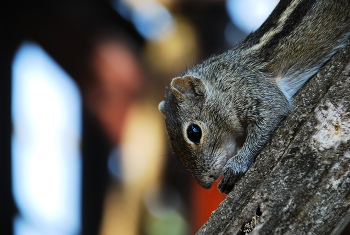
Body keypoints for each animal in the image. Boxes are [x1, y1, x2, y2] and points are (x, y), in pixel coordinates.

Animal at [158, 0, 350, 194]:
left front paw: (235, 166)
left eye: (194, 132)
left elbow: (268, 119)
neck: (222, 83)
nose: (206, 183)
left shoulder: (257, 91)